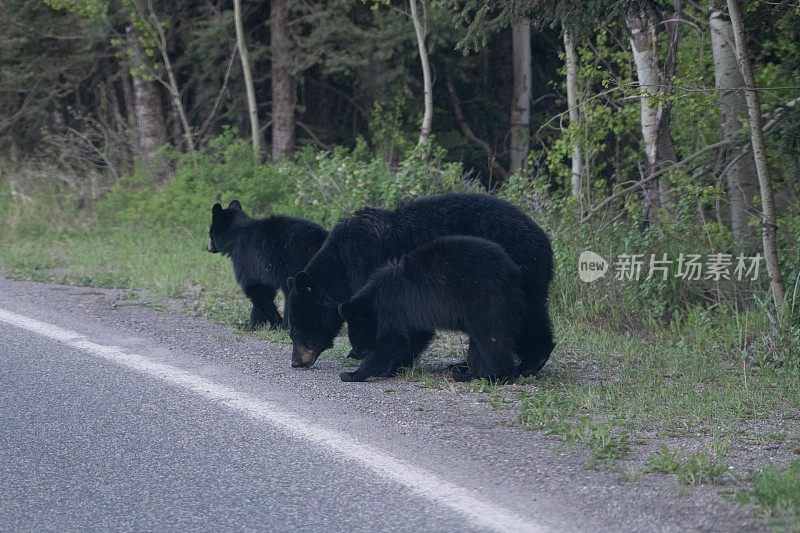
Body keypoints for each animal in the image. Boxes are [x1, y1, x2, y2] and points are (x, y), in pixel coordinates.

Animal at [209, 200, 332, 328]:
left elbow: (257, 289)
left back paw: (288, 325)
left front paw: (263, 323)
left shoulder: (246, 259)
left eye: (210, 232)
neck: (235, 237)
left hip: (296, 264)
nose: (208, 247)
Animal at [338, 237, 524, 382]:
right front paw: (392, 369)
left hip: (485, 300)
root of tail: (513, 270)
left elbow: (394, 340)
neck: (375, 295)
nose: (353, 353)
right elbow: (416, 337)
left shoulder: (392, 305)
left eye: (359, 344)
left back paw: (494, 375)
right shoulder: (411, 314)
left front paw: (352, 374)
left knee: (489, 337)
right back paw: (469, 374)